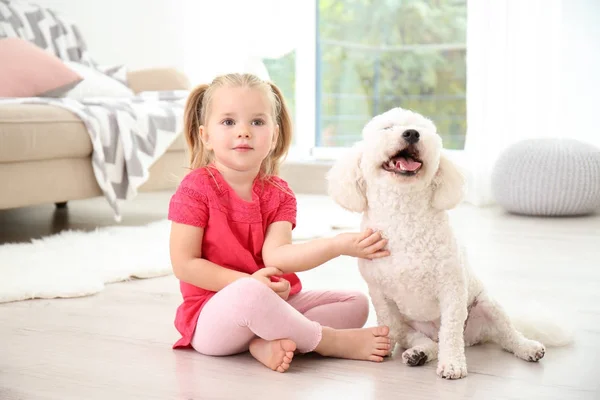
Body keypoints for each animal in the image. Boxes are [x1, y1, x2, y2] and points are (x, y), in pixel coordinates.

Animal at [326, 108, 568, 380]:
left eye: (423, 130)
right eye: (387, 128)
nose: (412, 133)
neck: (404, 213)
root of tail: (474, 338)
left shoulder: (451, 288)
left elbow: (451, 332)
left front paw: (452, 365)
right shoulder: (380, 294)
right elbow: (388, 323)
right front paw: (383, 347)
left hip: (487, 306)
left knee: (506, 335)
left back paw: (528, 348)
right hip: (410, 327)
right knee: (426, 341)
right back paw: (419, 353)